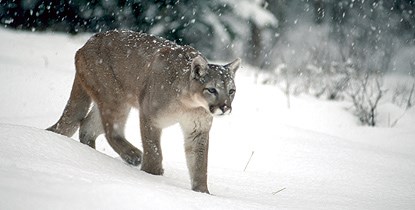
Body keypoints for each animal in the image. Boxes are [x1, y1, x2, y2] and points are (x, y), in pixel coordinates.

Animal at [47, 29, 240, 194]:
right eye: (212, 90)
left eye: (231, 91)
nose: (225, 108)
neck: (189, 103)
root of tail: (84, 46)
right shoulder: (150, 116)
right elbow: (153, 150)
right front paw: (152, 174)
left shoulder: (197, 130)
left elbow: (199, 163)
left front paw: (202, 193)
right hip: (115, 98)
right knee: (111, 132)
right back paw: (134, 155)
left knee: (87, 127)